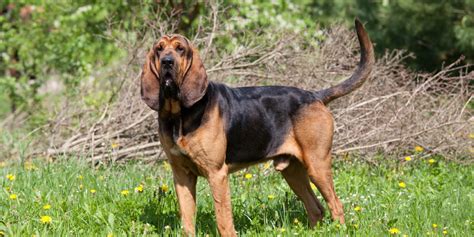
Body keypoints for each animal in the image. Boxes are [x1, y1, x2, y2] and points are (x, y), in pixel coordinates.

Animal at [141, 19, 374, 236]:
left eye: (180, 49)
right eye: (159, 49)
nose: (167, 62)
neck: (178, 113)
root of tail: (315, 95)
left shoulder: (217, 174)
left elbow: (223, 220)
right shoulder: (182, 175)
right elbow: (187, 220)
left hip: (317, 164)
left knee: (336, 204)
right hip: (293, 171)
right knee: (316, 208)